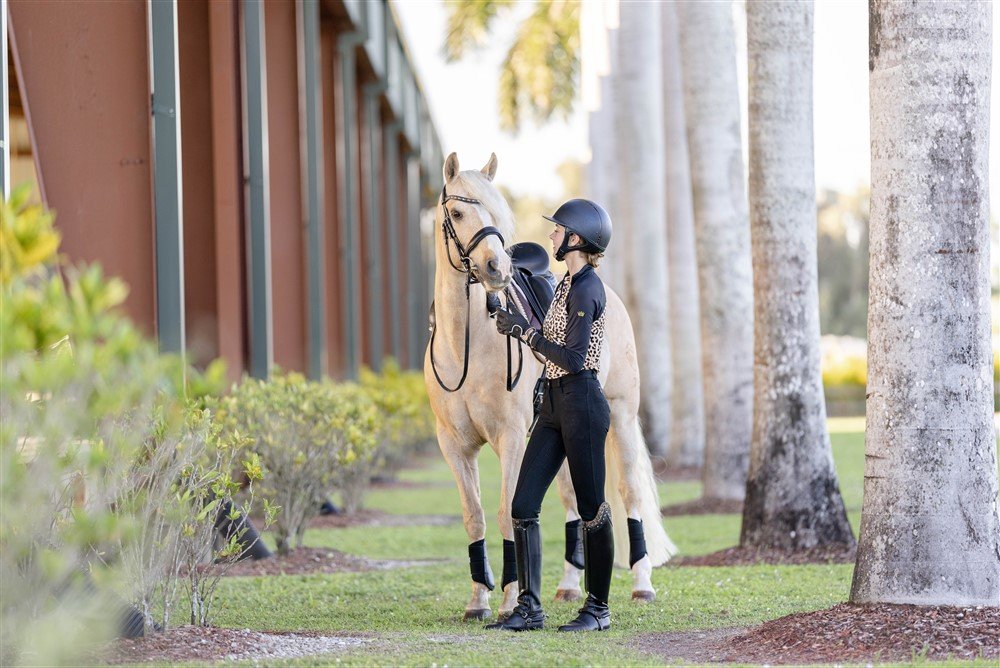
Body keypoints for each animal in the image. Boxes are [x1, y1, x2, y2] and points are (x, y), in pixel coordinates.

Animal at [426, 153, 676, 620]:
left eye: (499, 215)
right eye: (458, 213)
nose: (497, 269)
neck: (465, 345)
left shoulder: (510, 439)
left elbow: (507, 512)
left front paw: (509, 600)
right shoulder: (454, 445)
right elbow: (474, 516)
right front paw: (478, 600)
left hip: (621, 417)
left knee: (629, 493)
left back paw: (642, 583)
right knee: (573, 500)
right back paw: (569, 585)